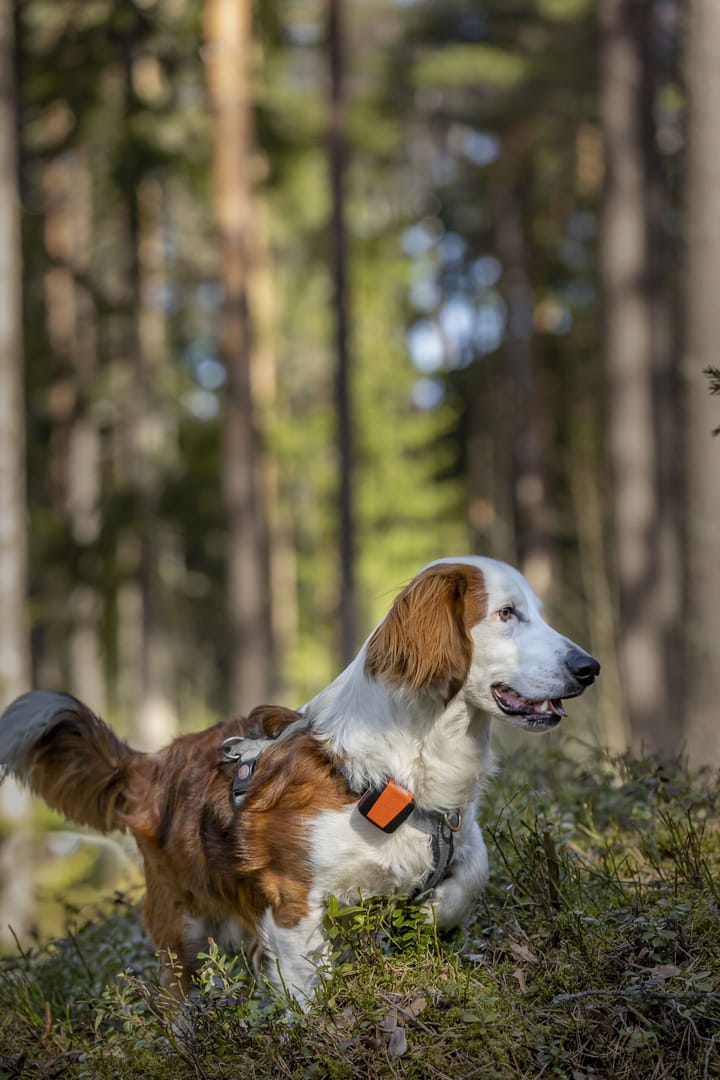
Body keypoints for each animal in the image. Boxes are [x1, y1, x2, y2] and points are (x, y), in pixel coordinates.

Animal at [0, 557, 595, 1002]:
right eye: (506, 614)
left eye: (536, 613)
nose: (590, 668)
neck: (401, 766)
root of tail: (153, 762)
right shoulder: (292, 900)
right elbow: (311, 985)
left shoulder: (457, 832)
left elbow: (472, 873)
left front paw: (426, 914)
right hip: (181, 925)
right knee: (179, 994)